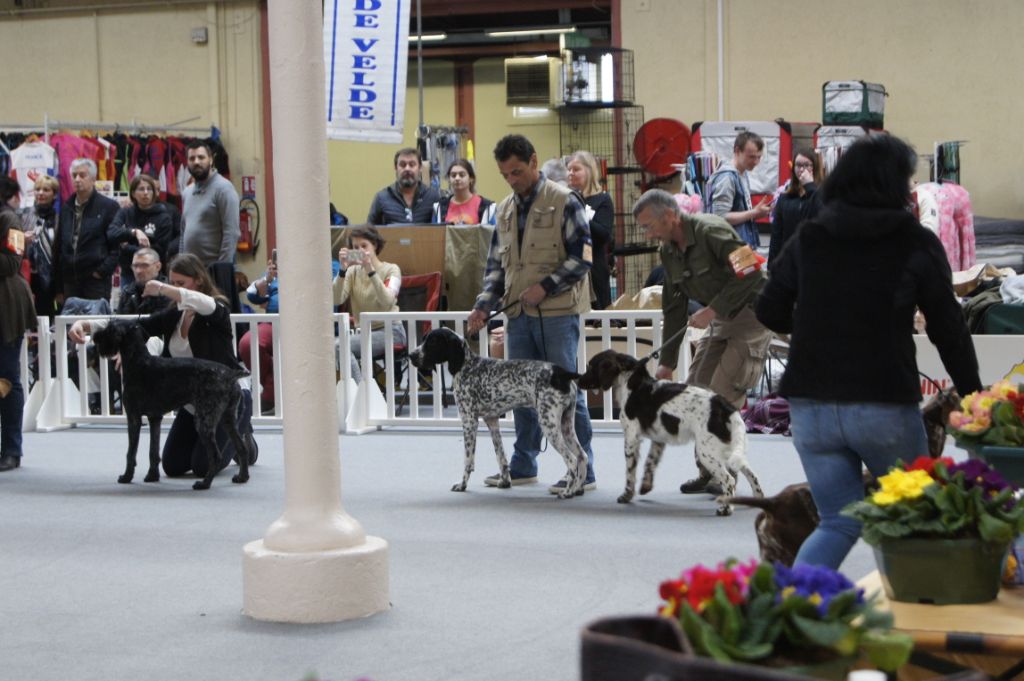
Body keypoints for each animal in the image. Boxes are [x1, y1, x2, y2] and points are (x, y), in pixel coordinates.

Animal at [92, 319, 251, 489]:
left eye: (110, 328)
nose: (95, 337)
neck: (138, 361)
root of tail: (230, 374)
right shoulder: (155, 418)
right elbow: (153, 451)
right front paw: (152, 476)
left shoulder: (133, 418)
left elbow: (131, 453)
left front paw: (127, 476)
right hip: (228, 419)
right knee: (241, 448)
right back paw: (242, 477)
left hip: (204, 422)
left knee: (216, 456)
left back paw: (204, 483)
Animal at [405, 327, 589, 497]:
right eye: (424, 339)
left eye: (433, 342)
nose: (411, 355)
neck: (466, 366)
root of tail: (561, 373)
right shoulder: (492, 421)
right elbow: (500, 455)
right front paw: (505, 481)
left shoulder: (469, 421)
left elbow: (468, 460)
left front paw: (462, 485)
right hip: (566, 425)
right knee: (583, 456)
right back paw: (578, 489)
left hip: (549, 425)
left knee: (572, 460)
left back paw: (567, 491)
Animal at [577, 350, 761, 516]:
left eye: (591, 366)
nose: (578, 380)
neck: (631, 382)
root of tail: (725, 406)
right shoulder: (658, 438)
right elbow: (650, 462)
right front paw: (645, 487)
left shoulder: (631, 437)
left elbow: (630, 471)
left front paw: (626, 495)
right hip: (729, 450)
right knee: (752, 474)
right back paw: (758, 499)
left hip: (707, 452)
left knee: (729, 480)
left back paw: (726, 509)